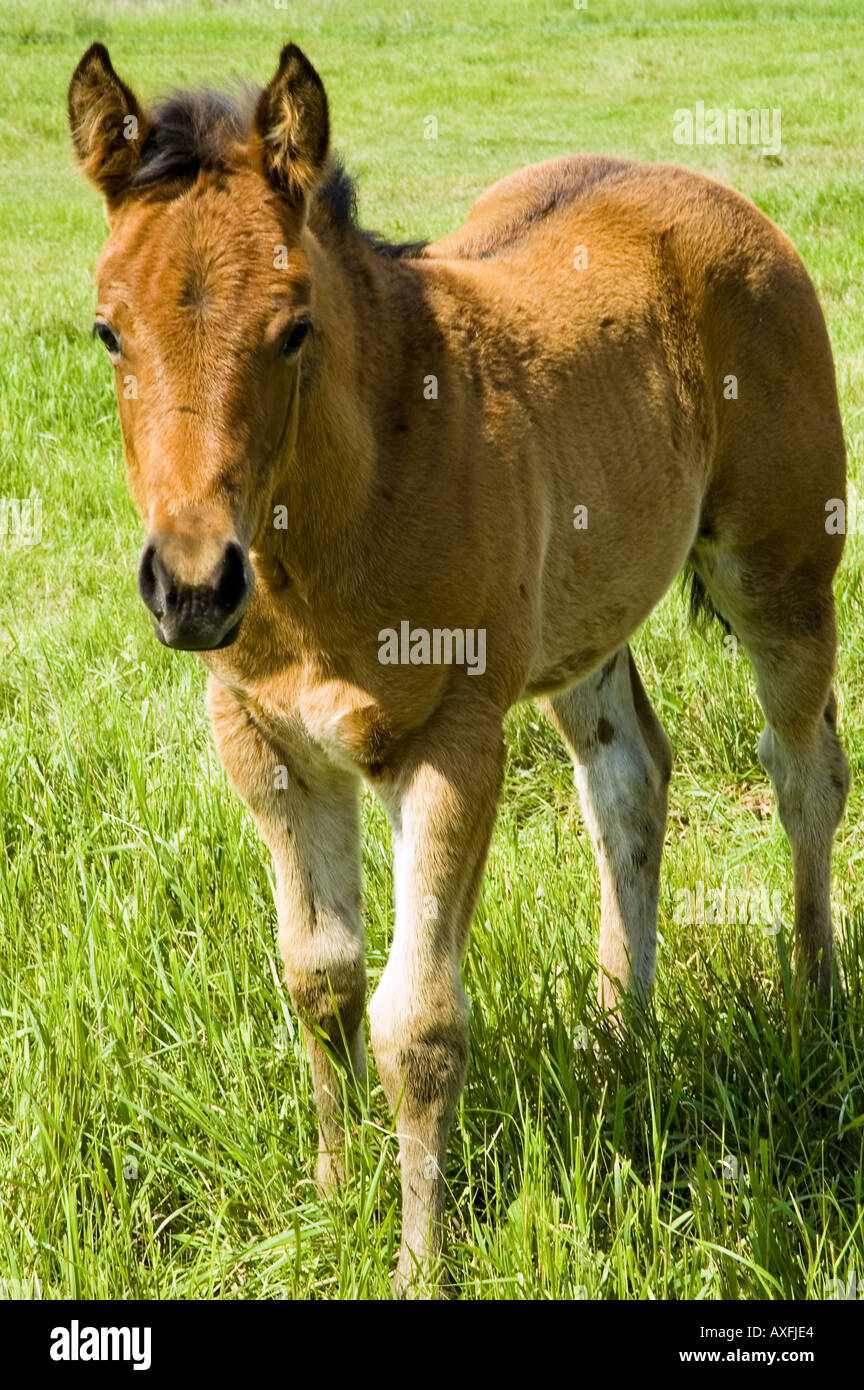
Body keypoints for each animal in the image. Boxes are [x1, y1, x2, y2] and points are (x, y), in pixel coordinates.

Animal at [69, 35, 855, 1289]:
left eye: (294, 327)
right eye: (108, 330)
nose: (193, 587)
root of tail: (709, 192)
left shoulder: (449, 743)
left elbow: (420, 1021)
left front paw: (417, 1259)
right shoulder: (264, 741)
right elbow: (320, 976)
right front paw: (333, 1198)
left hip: (778, 571)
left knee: (804, 773)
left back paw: (814, 1000)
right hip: (586, 623)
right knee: (629, 782)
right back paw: (613, 1037)